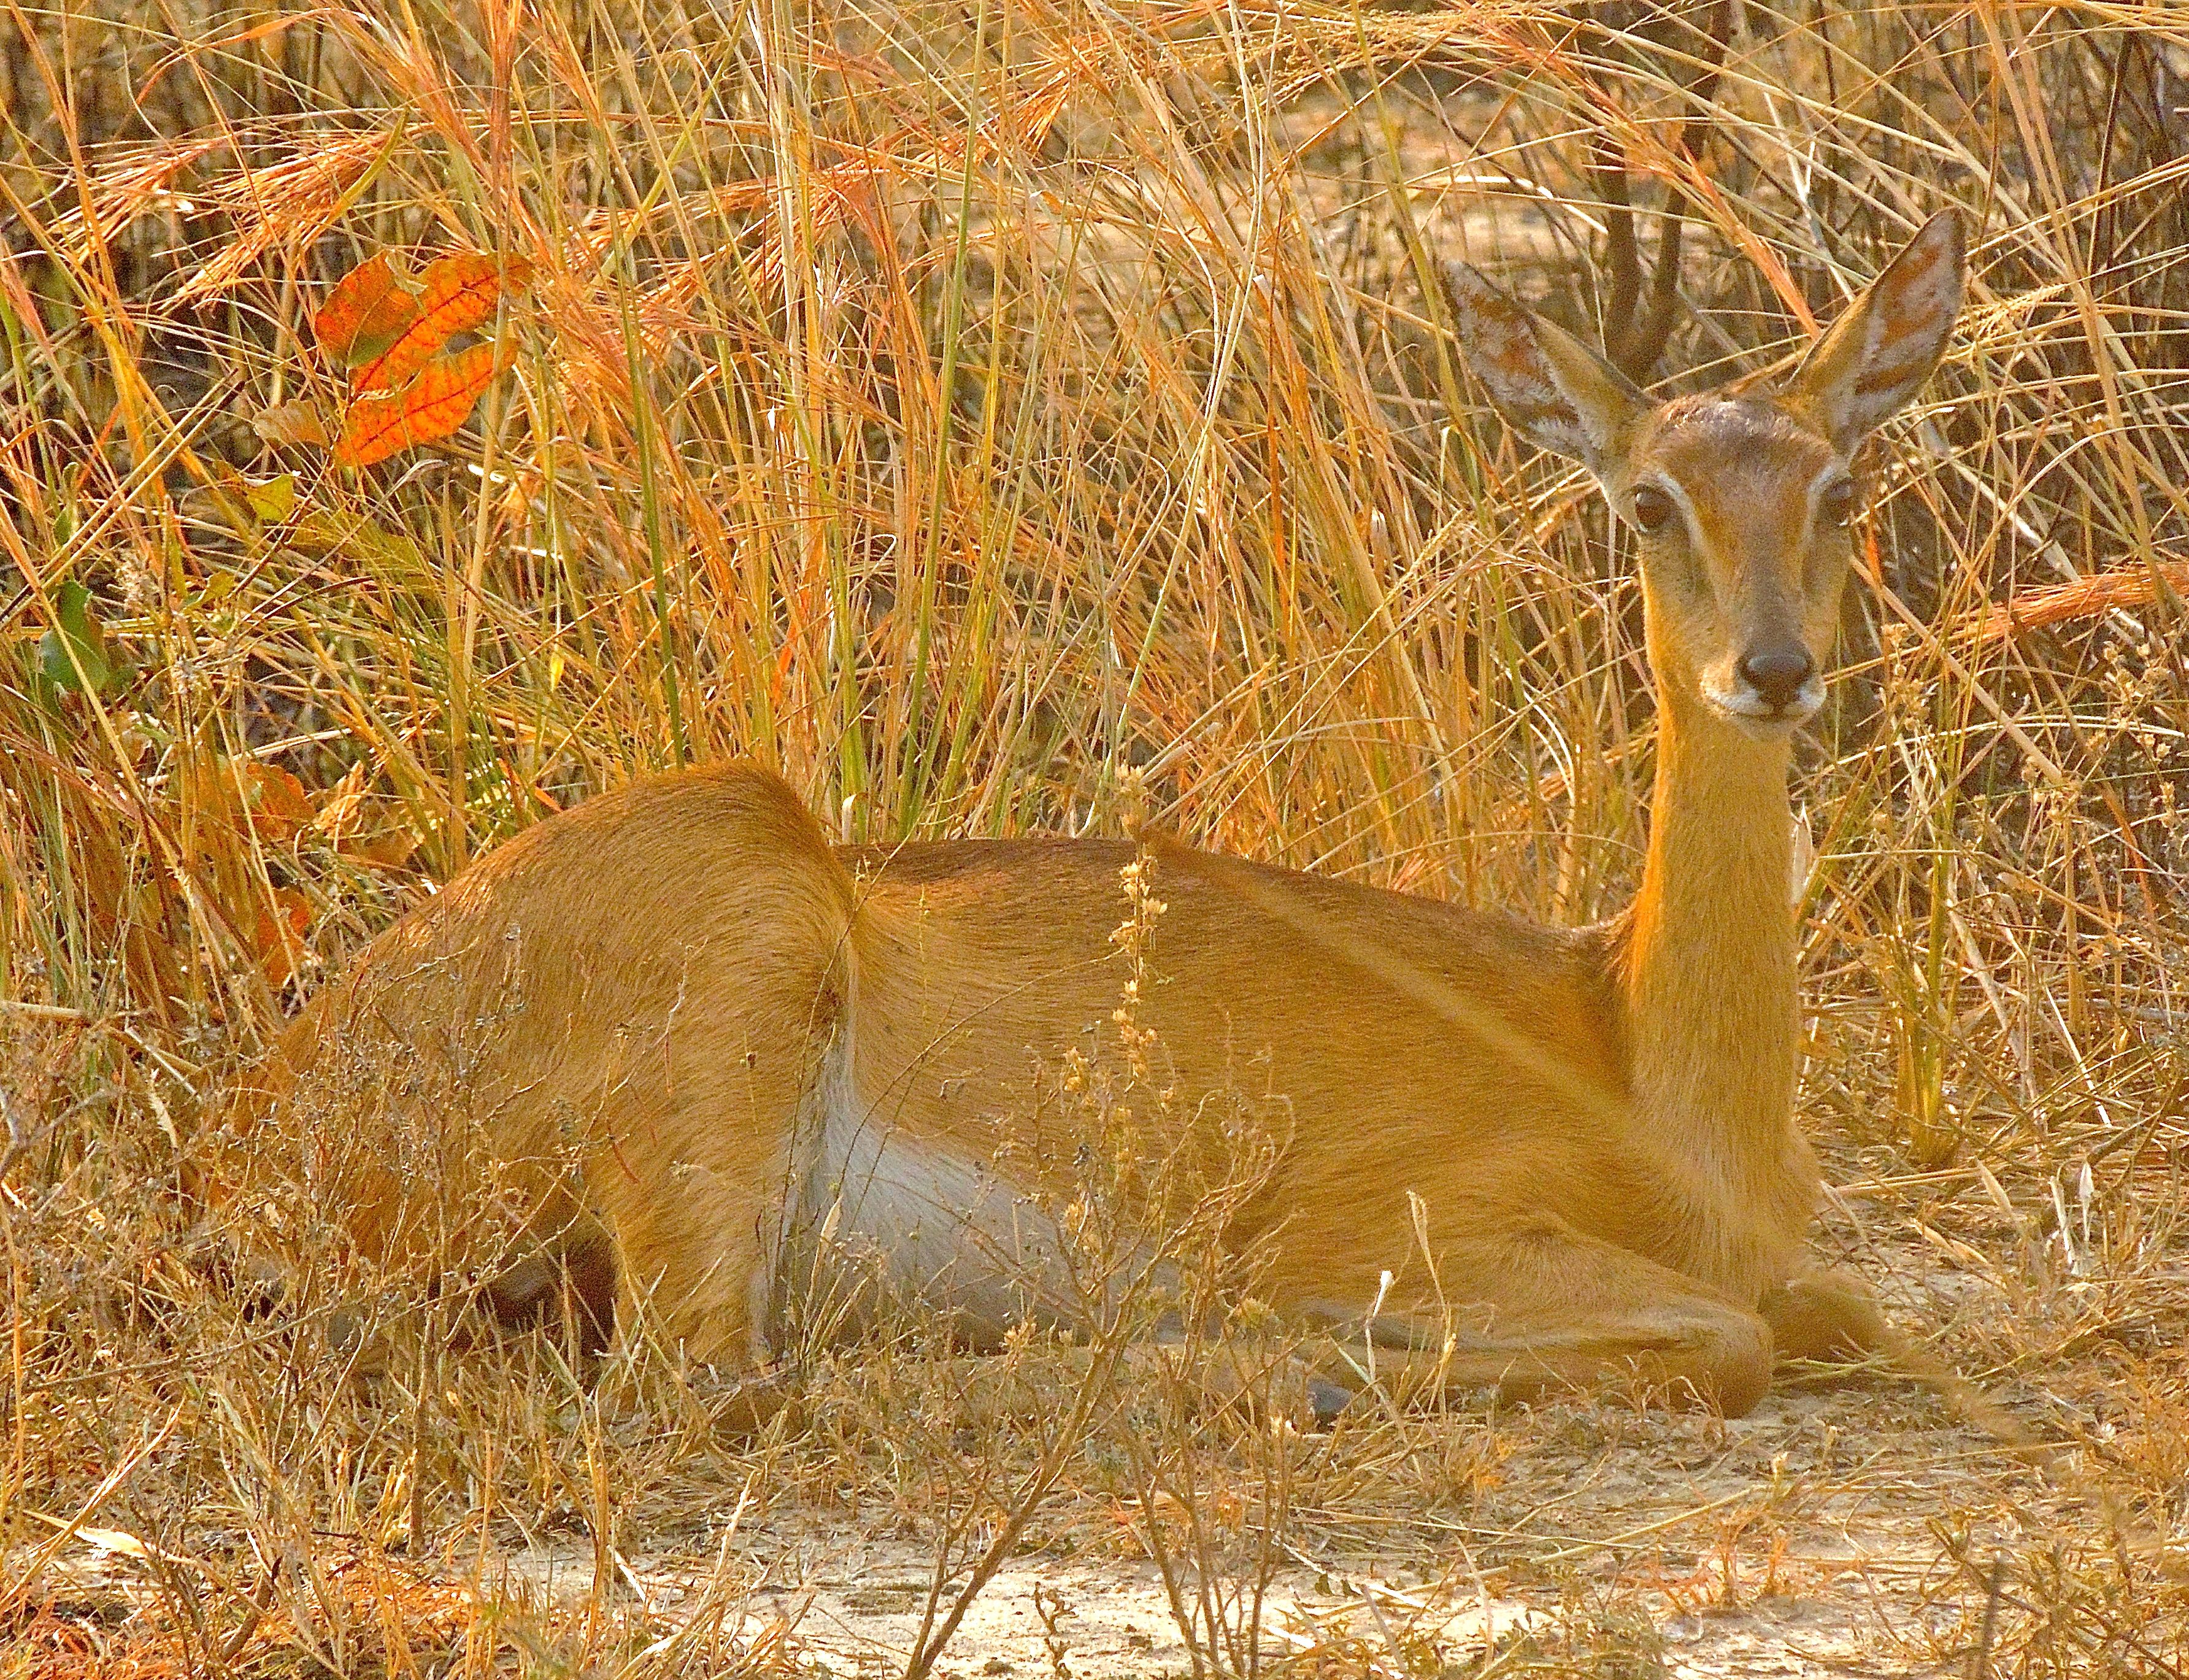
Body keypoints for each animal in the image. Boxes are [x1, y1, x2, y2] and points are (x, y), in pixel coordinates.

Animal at [218, 214, 1970, 1419]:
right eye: (1648, 500)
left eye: (1836, 484)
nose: (1772, 670)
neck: (1635, 1056)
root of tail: (268, 1137)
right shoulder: (1371, 1222)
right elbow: (1728, 1341)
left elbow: (1843, 1311)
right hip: (735, 973)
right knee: (727, 1378)